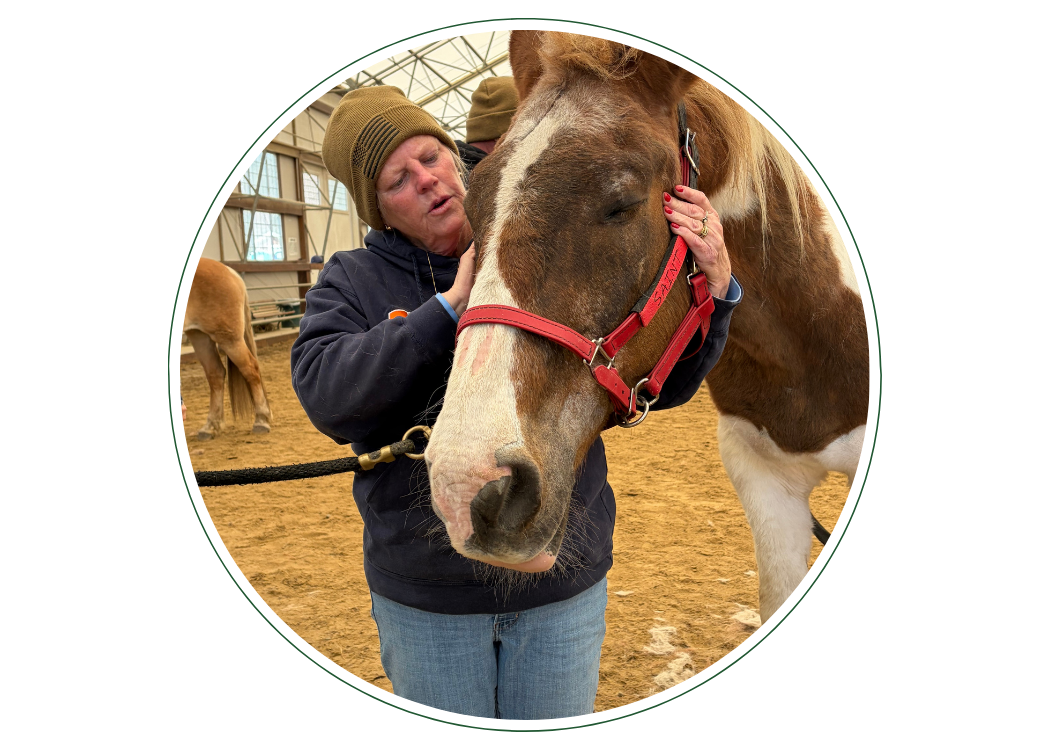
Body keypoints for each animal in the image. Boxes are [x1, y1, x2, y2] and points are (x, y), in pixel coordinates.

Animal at [183, 257, 273, 440]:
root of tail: (229, 271)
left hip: (228, 339)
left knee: (250, 368)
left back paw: (261, 420)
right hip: (199, 335)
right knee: (216, 373)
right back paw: (210, 426)